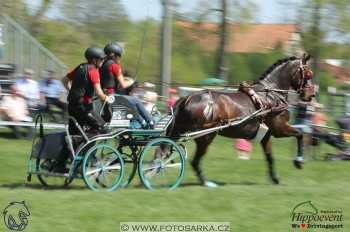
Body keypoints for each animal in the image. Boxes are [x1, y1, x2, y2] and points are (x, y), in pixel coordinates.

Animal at [167, 54, 314, 187]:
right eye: (308, 74)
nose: (311, 95)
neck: (271, 96)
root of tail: (186, 99)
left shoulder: (266, 135)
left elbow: (270, 157)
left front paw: (275, 179)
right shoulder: (280, 129)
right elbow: (300, 134)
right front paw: (299, 161)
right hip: (206, 136)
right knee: (195, 161)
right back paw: (206, 182)